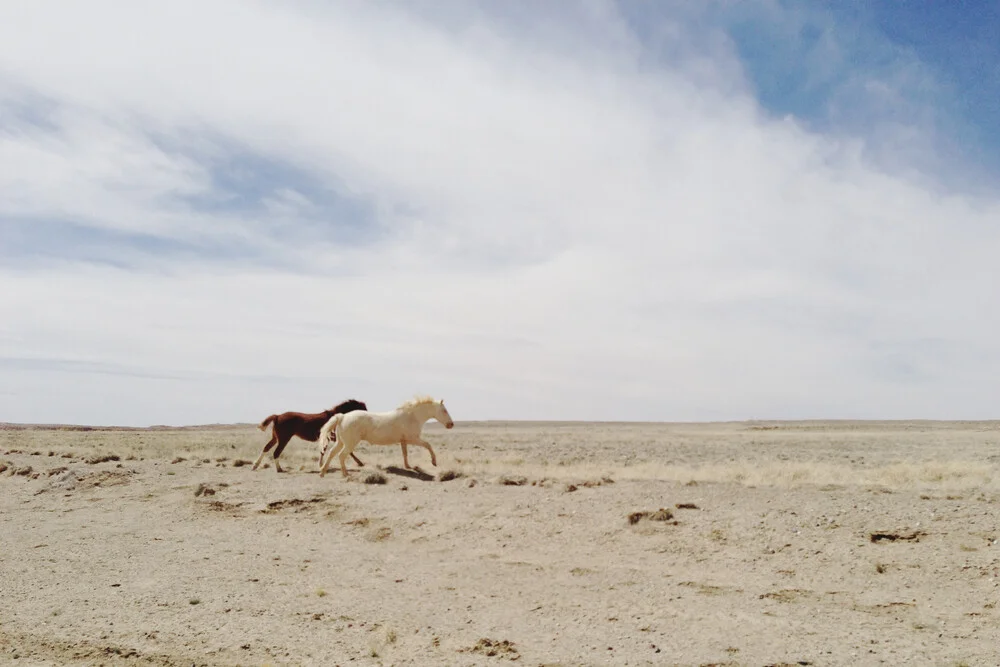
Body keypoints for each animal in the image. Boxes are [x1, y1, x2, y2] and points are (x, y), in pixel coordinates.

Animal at [318, 394, 456, 478]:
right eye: (444, 410)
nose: (451, 424)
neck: (412, 416)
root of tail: (342, 416)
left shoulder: (404, 440)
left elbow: (405, 454)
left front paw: (408, 467)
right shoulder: (413, 439)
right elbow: (428, 445)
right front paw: (434, 462)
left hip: (341, 442)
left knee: (331, 453)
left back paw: (322, 472)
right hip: (350, 443)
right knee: (341, 455)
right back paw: (346, 474)